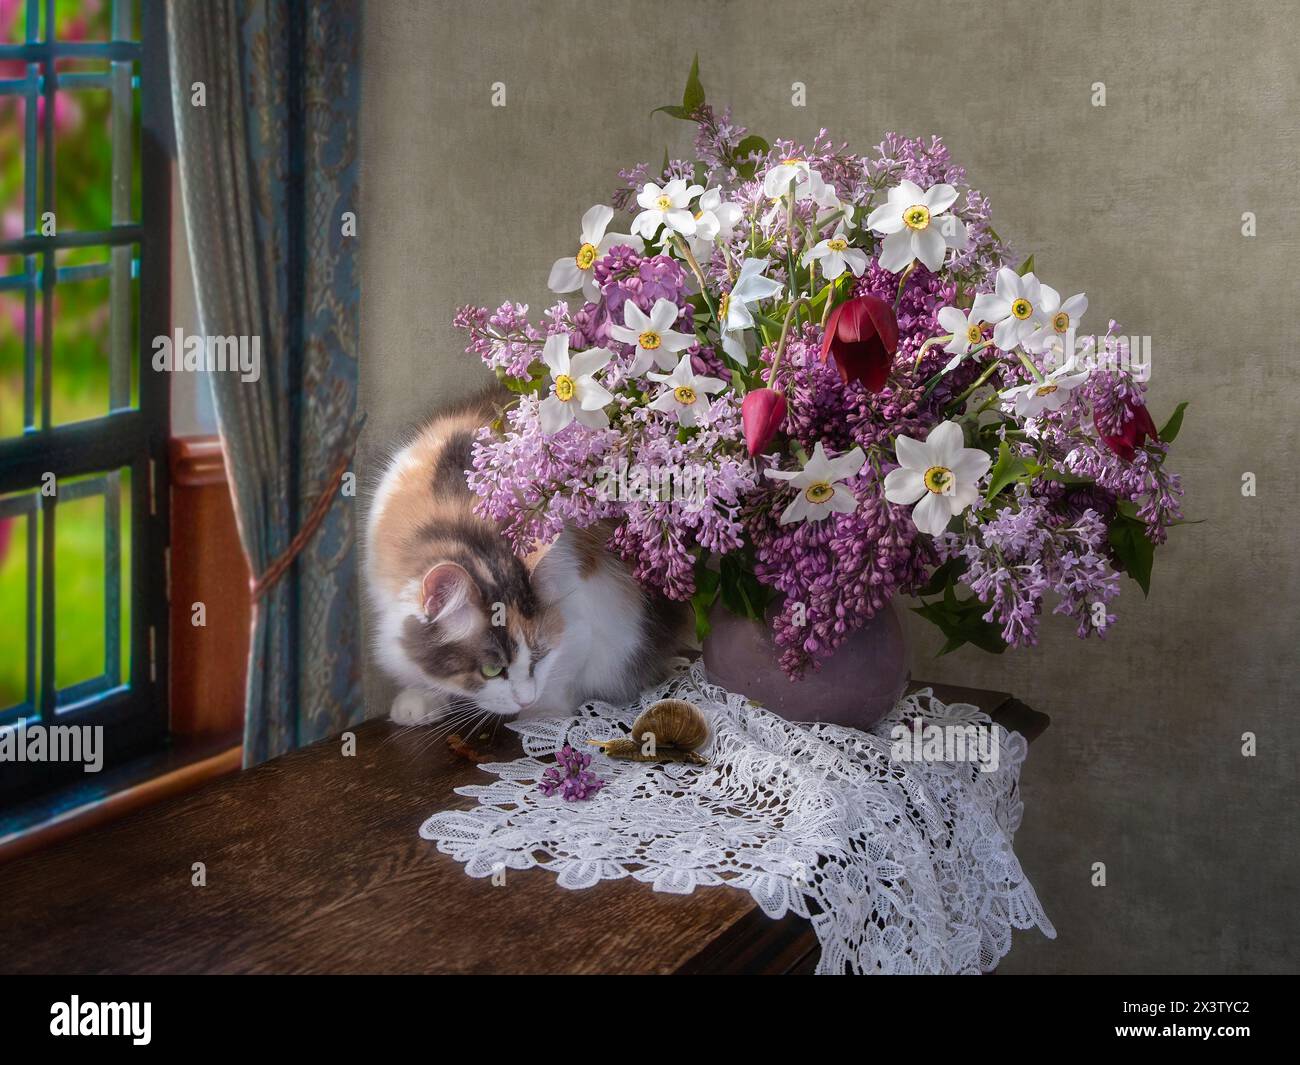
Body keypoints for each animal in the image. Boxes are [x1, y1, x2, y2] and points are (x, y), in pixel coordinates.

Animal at [366, 387, 691, 728]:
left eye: (539, 655)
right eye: (491, 670)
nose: (525, 699)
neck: (468, 525)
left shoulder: (584, 615)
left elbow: (563, 669)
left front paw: (543, 716)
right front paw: (422, 697)